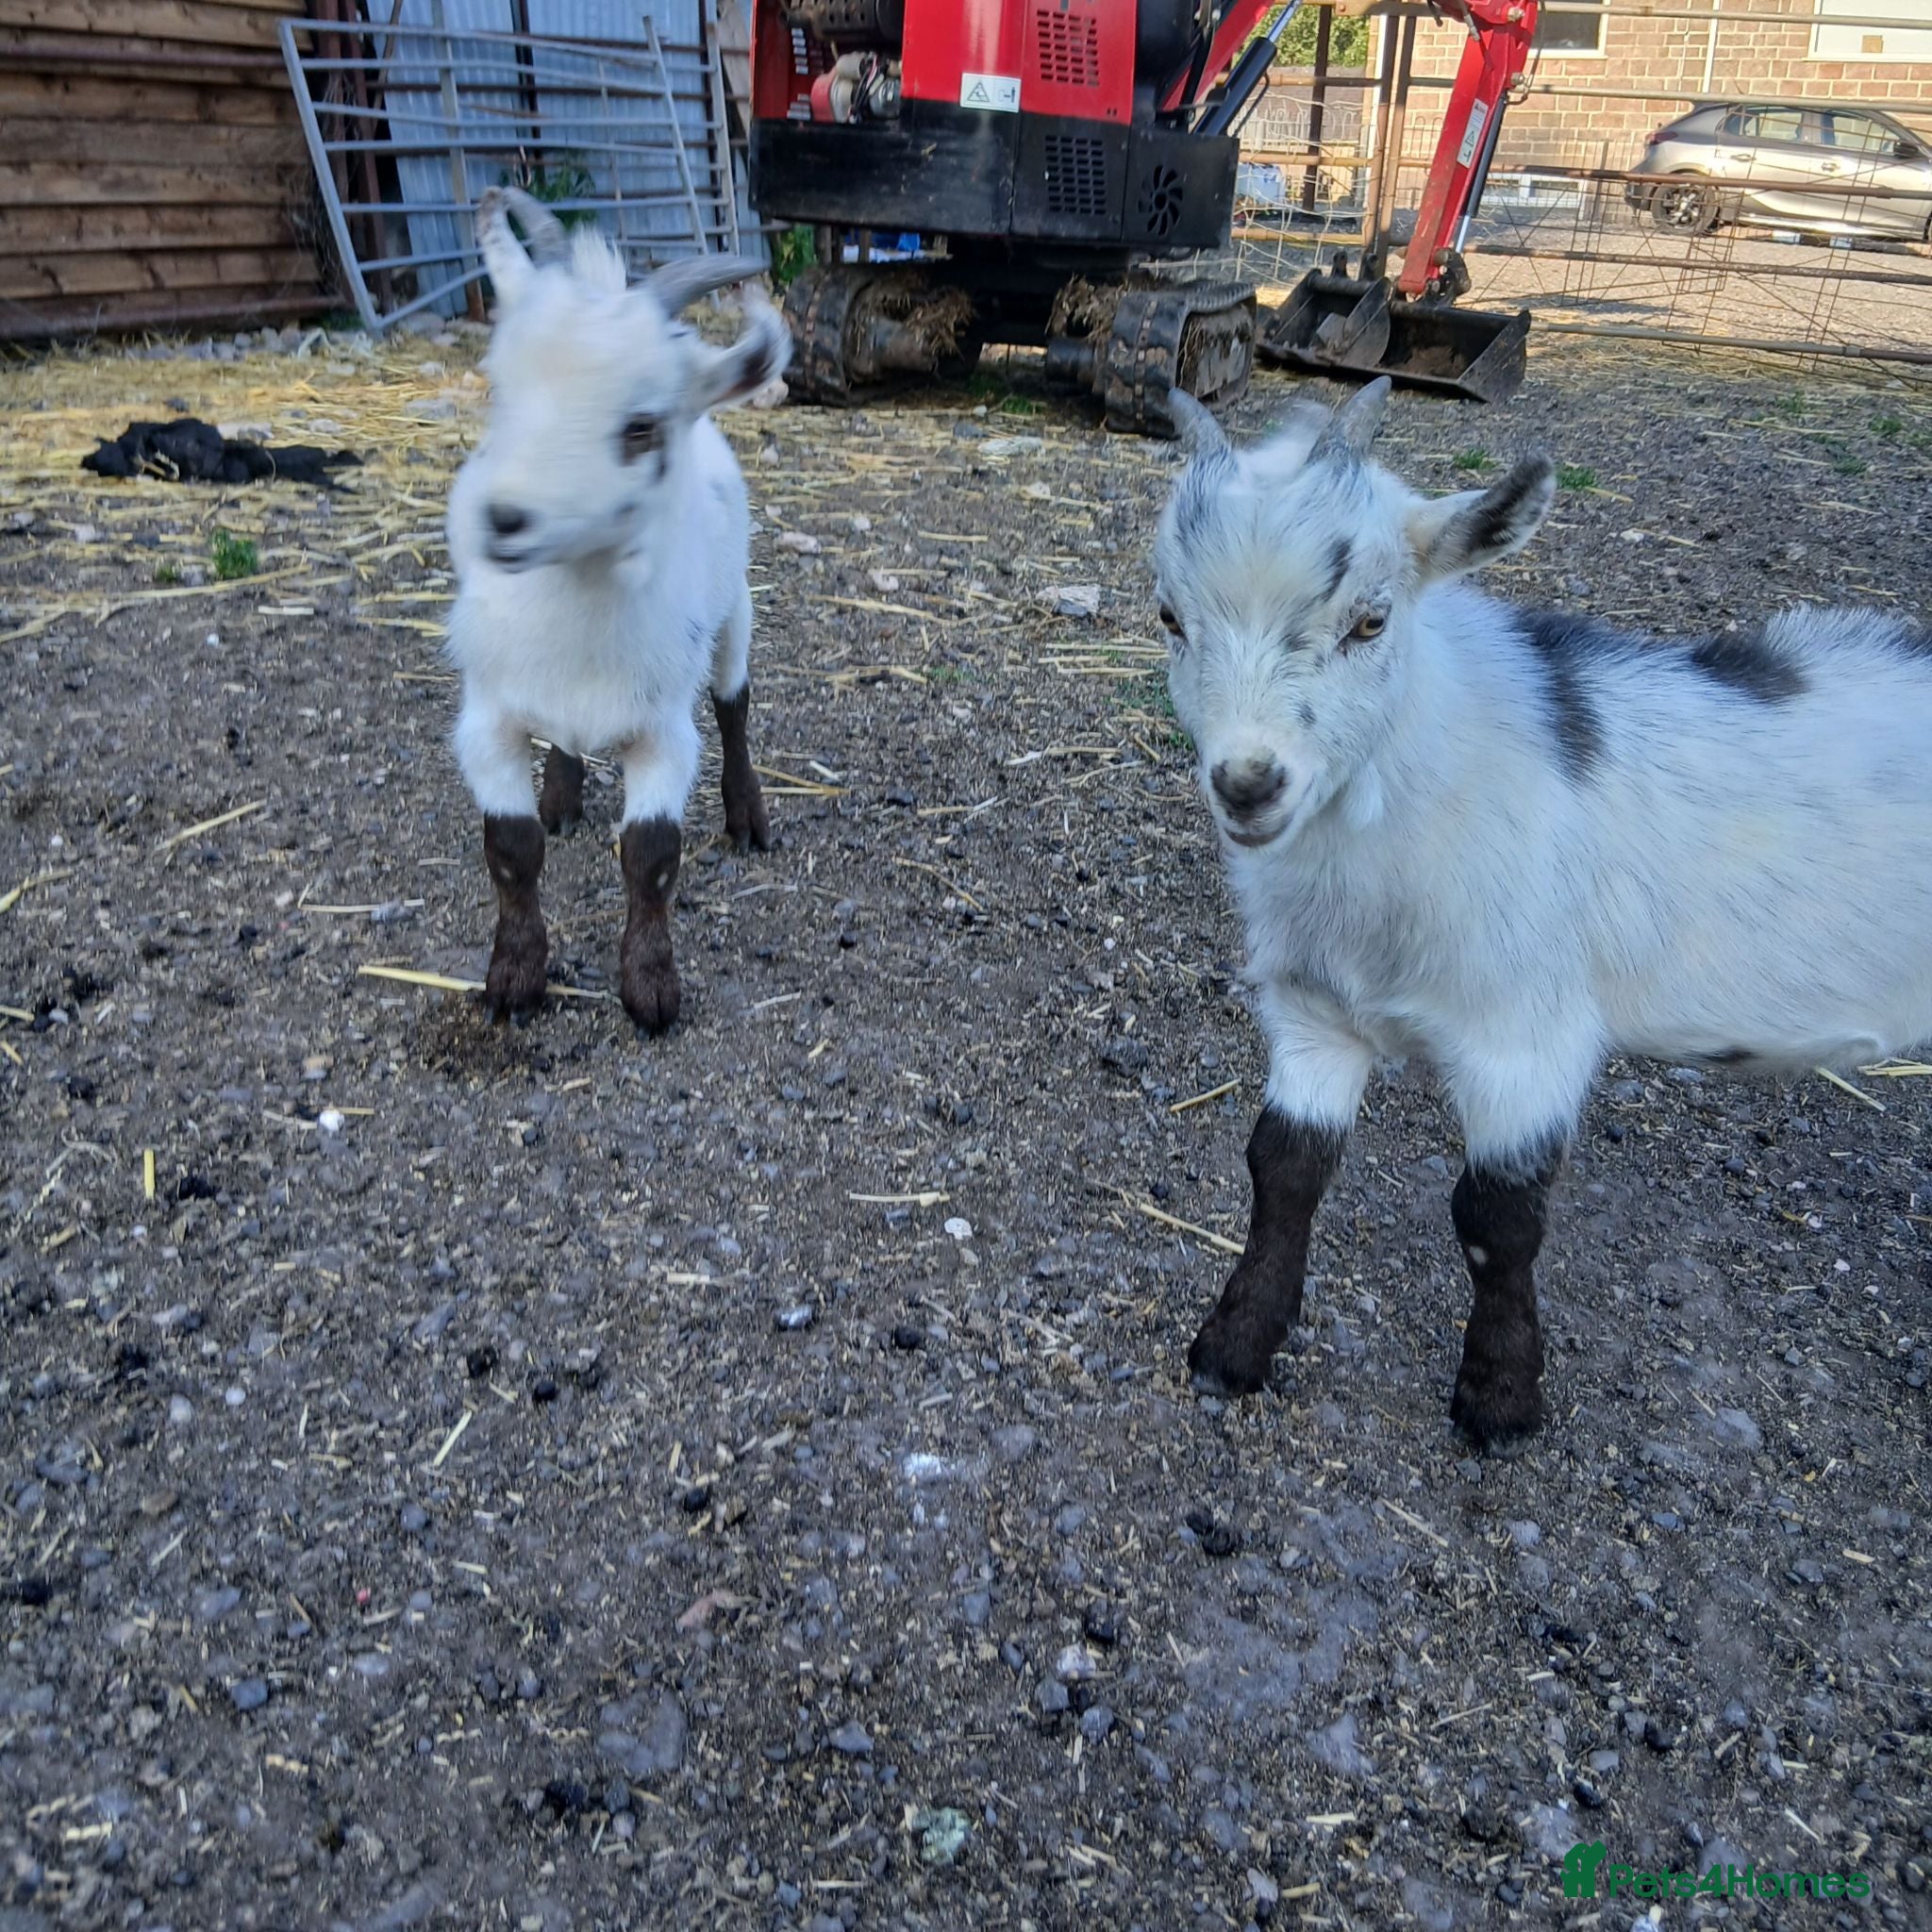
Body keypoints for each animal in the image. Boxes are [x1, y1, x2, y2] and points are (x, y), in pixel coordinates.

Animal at [445, 188, 789, 1033]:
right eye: (502, 393)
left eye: (641, 427)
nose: (504, 520)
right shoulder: (487, 717)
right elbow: (509, 848)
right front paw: (515, 978)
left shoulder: (663, 730)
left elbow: (652, 857)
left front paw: (651, 988)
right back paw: (563, 795)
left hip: (735, 609)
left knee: (734, 704)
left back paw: (749, 816)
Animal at [1154, 378, 1932, 1446]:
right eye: (1168, 616)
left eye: (1370, 622)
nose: (1248, 783)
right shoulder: (1313, 1008)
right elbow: (1284, 1168)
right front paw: (1232, 1347)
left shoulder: (1525, 1029)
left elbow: (1497, 1217)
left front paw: (1500, 1401)